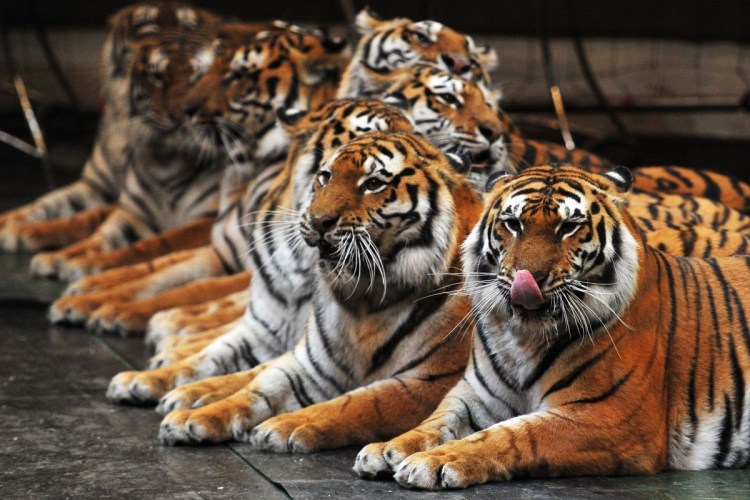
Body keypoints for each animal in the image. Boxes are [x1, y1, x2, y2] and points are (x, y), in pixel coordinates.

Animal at [0, 2, 221, 253]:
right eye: (146, 27)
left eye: (188, 28)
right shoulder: (95, 186)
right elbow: (50, 204)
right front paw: (15, 225)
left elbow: (89, 218)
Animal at [48, 23, 351, 333]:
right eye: (211, 67)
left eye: (239, 75)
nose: (186, 110)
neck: (248, 171)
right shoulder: (222, 252)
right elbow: (159, 272)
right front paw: (85, 294)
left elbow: (194, 289)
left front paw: (120, 312)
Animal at [354, 164, 750, 490]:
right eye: (513, 224)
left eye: (569, 227)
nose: (530, 278)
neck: (522, 338)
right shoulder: (476, 397)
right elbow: (435, 421)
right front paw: (386, 450)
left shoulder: (607, 417)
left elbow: (512, 435)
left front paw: (435, 462)